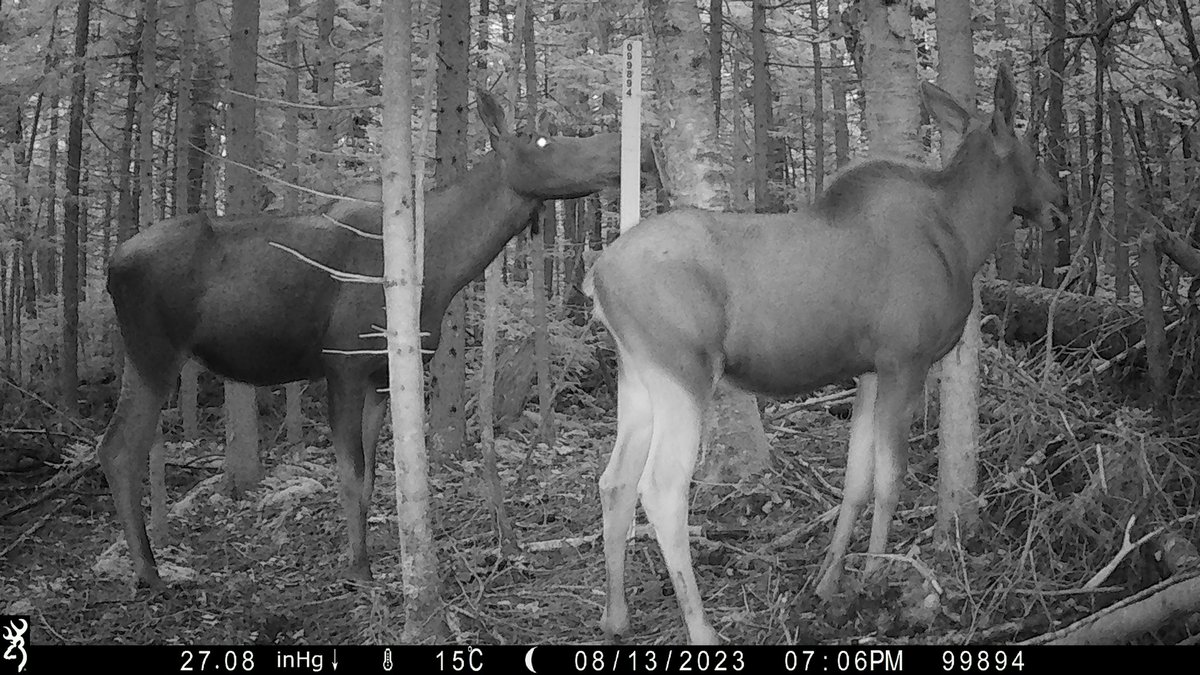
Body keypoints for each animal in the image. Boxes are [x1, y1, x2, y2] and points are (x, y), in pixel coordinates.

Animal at [100, 91, 635, 591]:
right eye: (540, 140)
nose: (626, 150)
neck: (437, 270)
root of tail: (110, 264)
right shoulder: (343, 365)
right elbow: (351, 475)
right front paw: (357, 569)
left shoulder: (380, 374)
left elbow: (376, 476)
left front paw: (373, 561)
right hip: (153, 355)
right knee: (120, 449)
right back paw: (148, 571)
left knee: (115, 447)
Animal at [584, 65, 1060, 644]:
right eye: (1032, 148)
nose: (1061, 204)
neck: (965, 238)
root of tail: (595, 276)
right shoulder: (905, 360)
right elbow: (891, 480)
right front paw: (875, 579)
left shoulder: (869, 370)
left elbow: (856, 481)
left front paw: (829, 581)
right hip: (683, 372)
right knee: (660, 488)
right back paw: (702, 629)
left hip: (636, 377)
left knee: (615, 480)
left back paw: (615, 616)